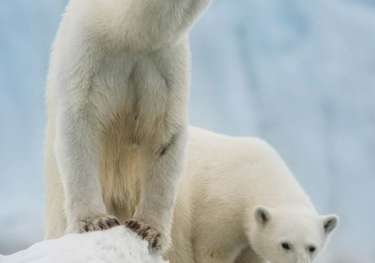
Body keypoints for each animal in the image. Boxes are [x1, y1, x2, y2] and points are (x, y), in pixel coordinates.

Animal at [44, 0, 212, 252]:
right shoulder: (87, 54)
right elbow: (80, 125)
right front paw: (96, 221)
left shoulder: (166, 66)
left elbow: (164, 136)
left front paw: (148, 229)